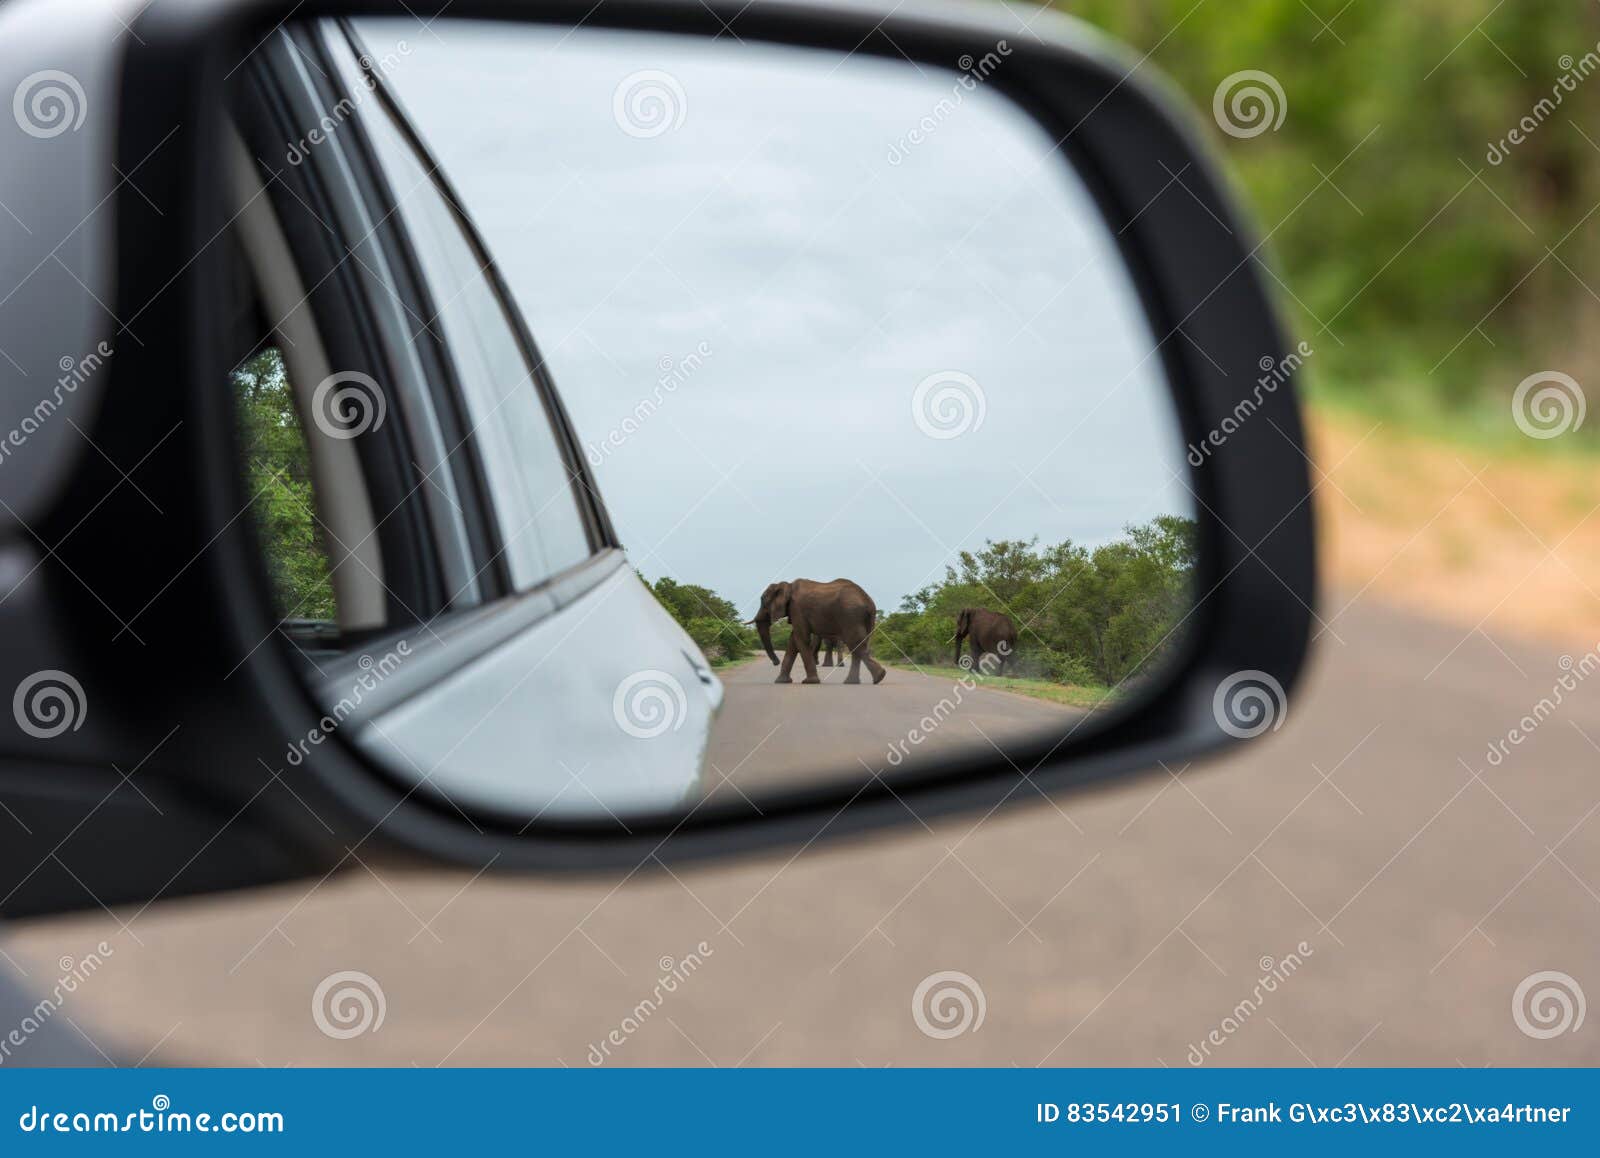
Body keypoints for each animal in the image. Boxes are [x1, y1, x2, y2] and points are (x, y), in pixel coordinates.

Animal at [752, 578, 887, 685]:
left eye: (764, 602)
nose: (776, 662)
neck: (788, 586)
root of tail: (868, 601)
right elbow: (793, 641)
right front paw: (781, 681)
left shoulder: (797, 609)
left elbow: (801, 638)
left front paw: (809, 682)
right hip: (863, 618)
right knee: (858, 645)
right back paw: (853, 682)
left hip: (851, 615)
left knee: (855, 643)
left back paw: (879, 677)